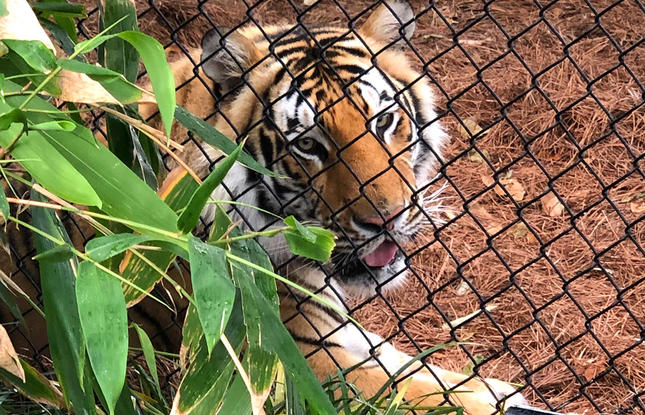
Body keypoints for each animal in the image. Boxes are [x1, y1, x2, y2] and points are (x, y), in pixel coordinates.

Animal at [141, 1, 529, 413]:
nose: (388, 219)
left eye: (384, 121)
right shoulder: (303, 361)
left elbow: (412, 366)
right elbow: (416, 392)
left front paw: (496, 389)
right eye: (308, 145)